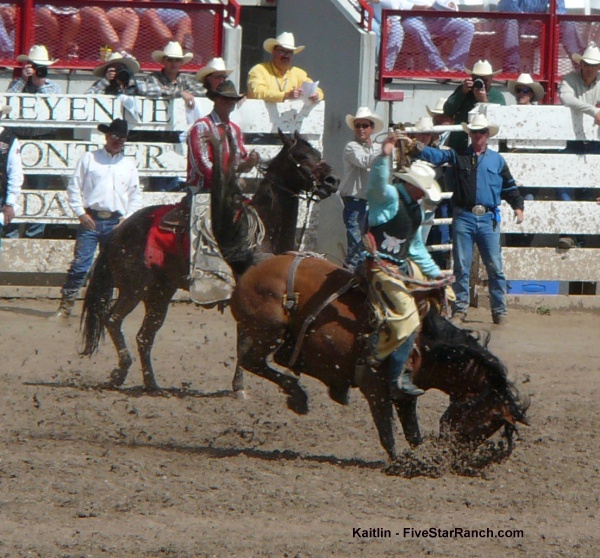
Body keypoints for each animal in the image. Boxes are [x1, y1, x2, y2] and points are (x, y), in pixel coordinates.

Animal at [79, 130, 340, 394]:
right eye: (301, 156)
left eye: (317, 153)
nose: (332, 180)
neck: (262, 231)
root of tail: (117, 232)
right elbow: (243, 342)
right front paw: (239, 387)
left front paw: (239, 385)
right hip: (134, 288)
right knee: (112, 320)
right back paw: (121, 372)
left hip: (160, 292)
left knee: (144, 335)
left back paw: (152, 384)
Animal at [226, 255, 528, 464]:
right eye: (487, 423)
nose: (455, 454)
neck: (425, 344)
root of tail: (251, 270)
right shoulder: (375, 388)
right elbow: (387, 431)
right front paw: (402, 463)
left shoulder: (404, 395)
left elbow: (412, 433)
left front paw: (422, 458)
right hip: (266, 331)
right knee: (252, 361)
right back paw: (296, 396)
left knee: (265, 359)